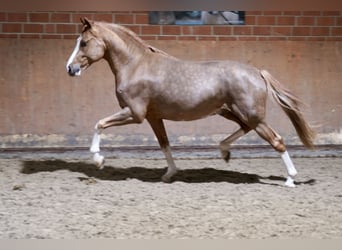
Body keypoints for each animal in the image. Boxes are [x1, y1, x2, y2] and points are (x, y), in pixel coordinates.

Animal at [65, 16, 314, 187]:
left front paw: (98, 160)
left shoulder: (135, 113)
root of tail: (258, 72)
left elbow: (99, 123)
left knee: (277, 140)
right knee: (245, 129)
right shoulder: (153, 117)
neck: (135, 65)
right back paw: (224, 152)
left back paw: (290, 179)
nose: (70, 69)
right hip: (232, 112)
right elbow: (164, 144)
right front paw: (169, 174)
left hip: (251, 115)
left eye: (84, 43)